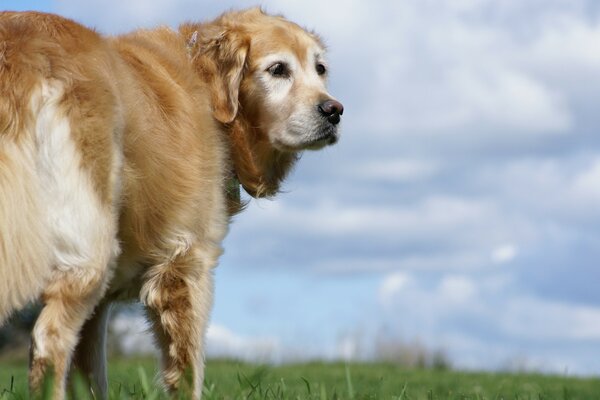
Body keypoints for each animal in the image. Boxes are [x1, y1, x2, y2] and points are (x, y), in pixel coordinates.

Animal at [0, 7, 342, 398]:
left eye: (320, 68)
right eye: (278, 69)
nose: (334, 110)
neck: (208, 91)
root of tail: (22, 48)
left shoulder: (101, 310)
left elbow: (91, 378)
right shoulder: (186, 265)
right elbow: (189, 372)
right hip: (89, 255)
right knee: (49, 340)